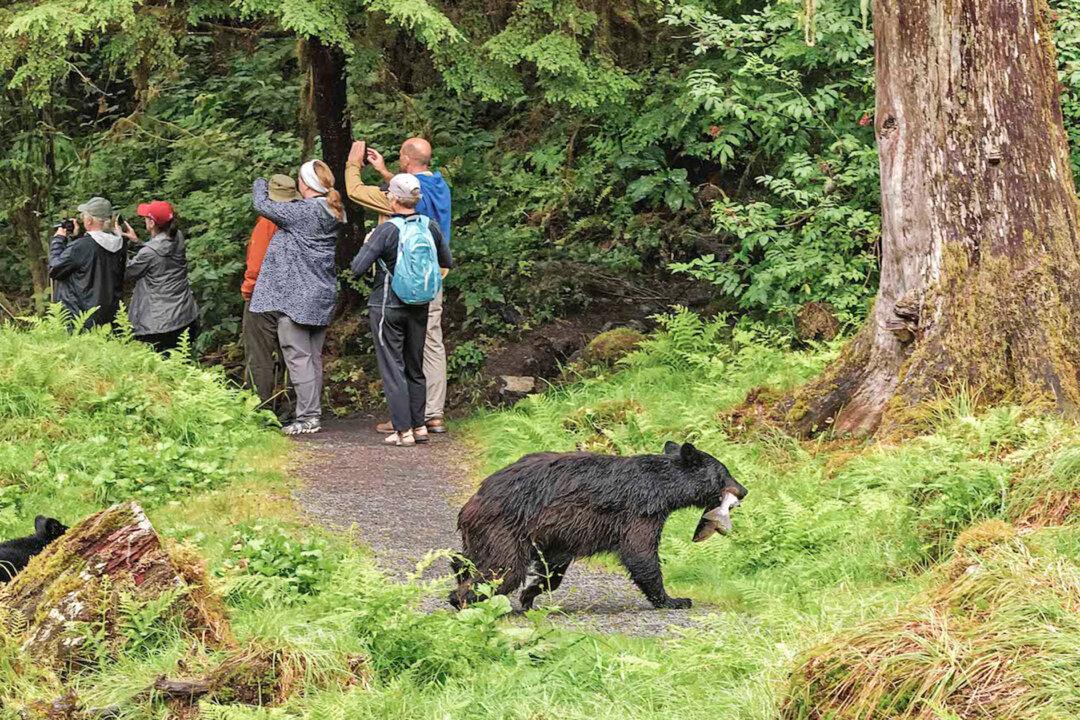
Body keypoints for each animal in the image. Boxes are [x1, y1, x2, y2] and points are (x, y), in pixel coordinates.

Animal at [449, 441, 747, 611]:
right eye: (725, 472)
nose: (744, 490)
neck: (663, 487)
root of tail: (472, 502)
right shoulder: (640, 512)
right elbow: (640, 554)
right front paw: (674, 600)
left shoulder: (559, 531)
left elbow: (554, 566)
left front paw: (531, 594)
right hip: (504, 527)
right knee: (504, 569)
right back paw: (461, 597)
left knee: (471, 559)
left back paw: (457, 569)